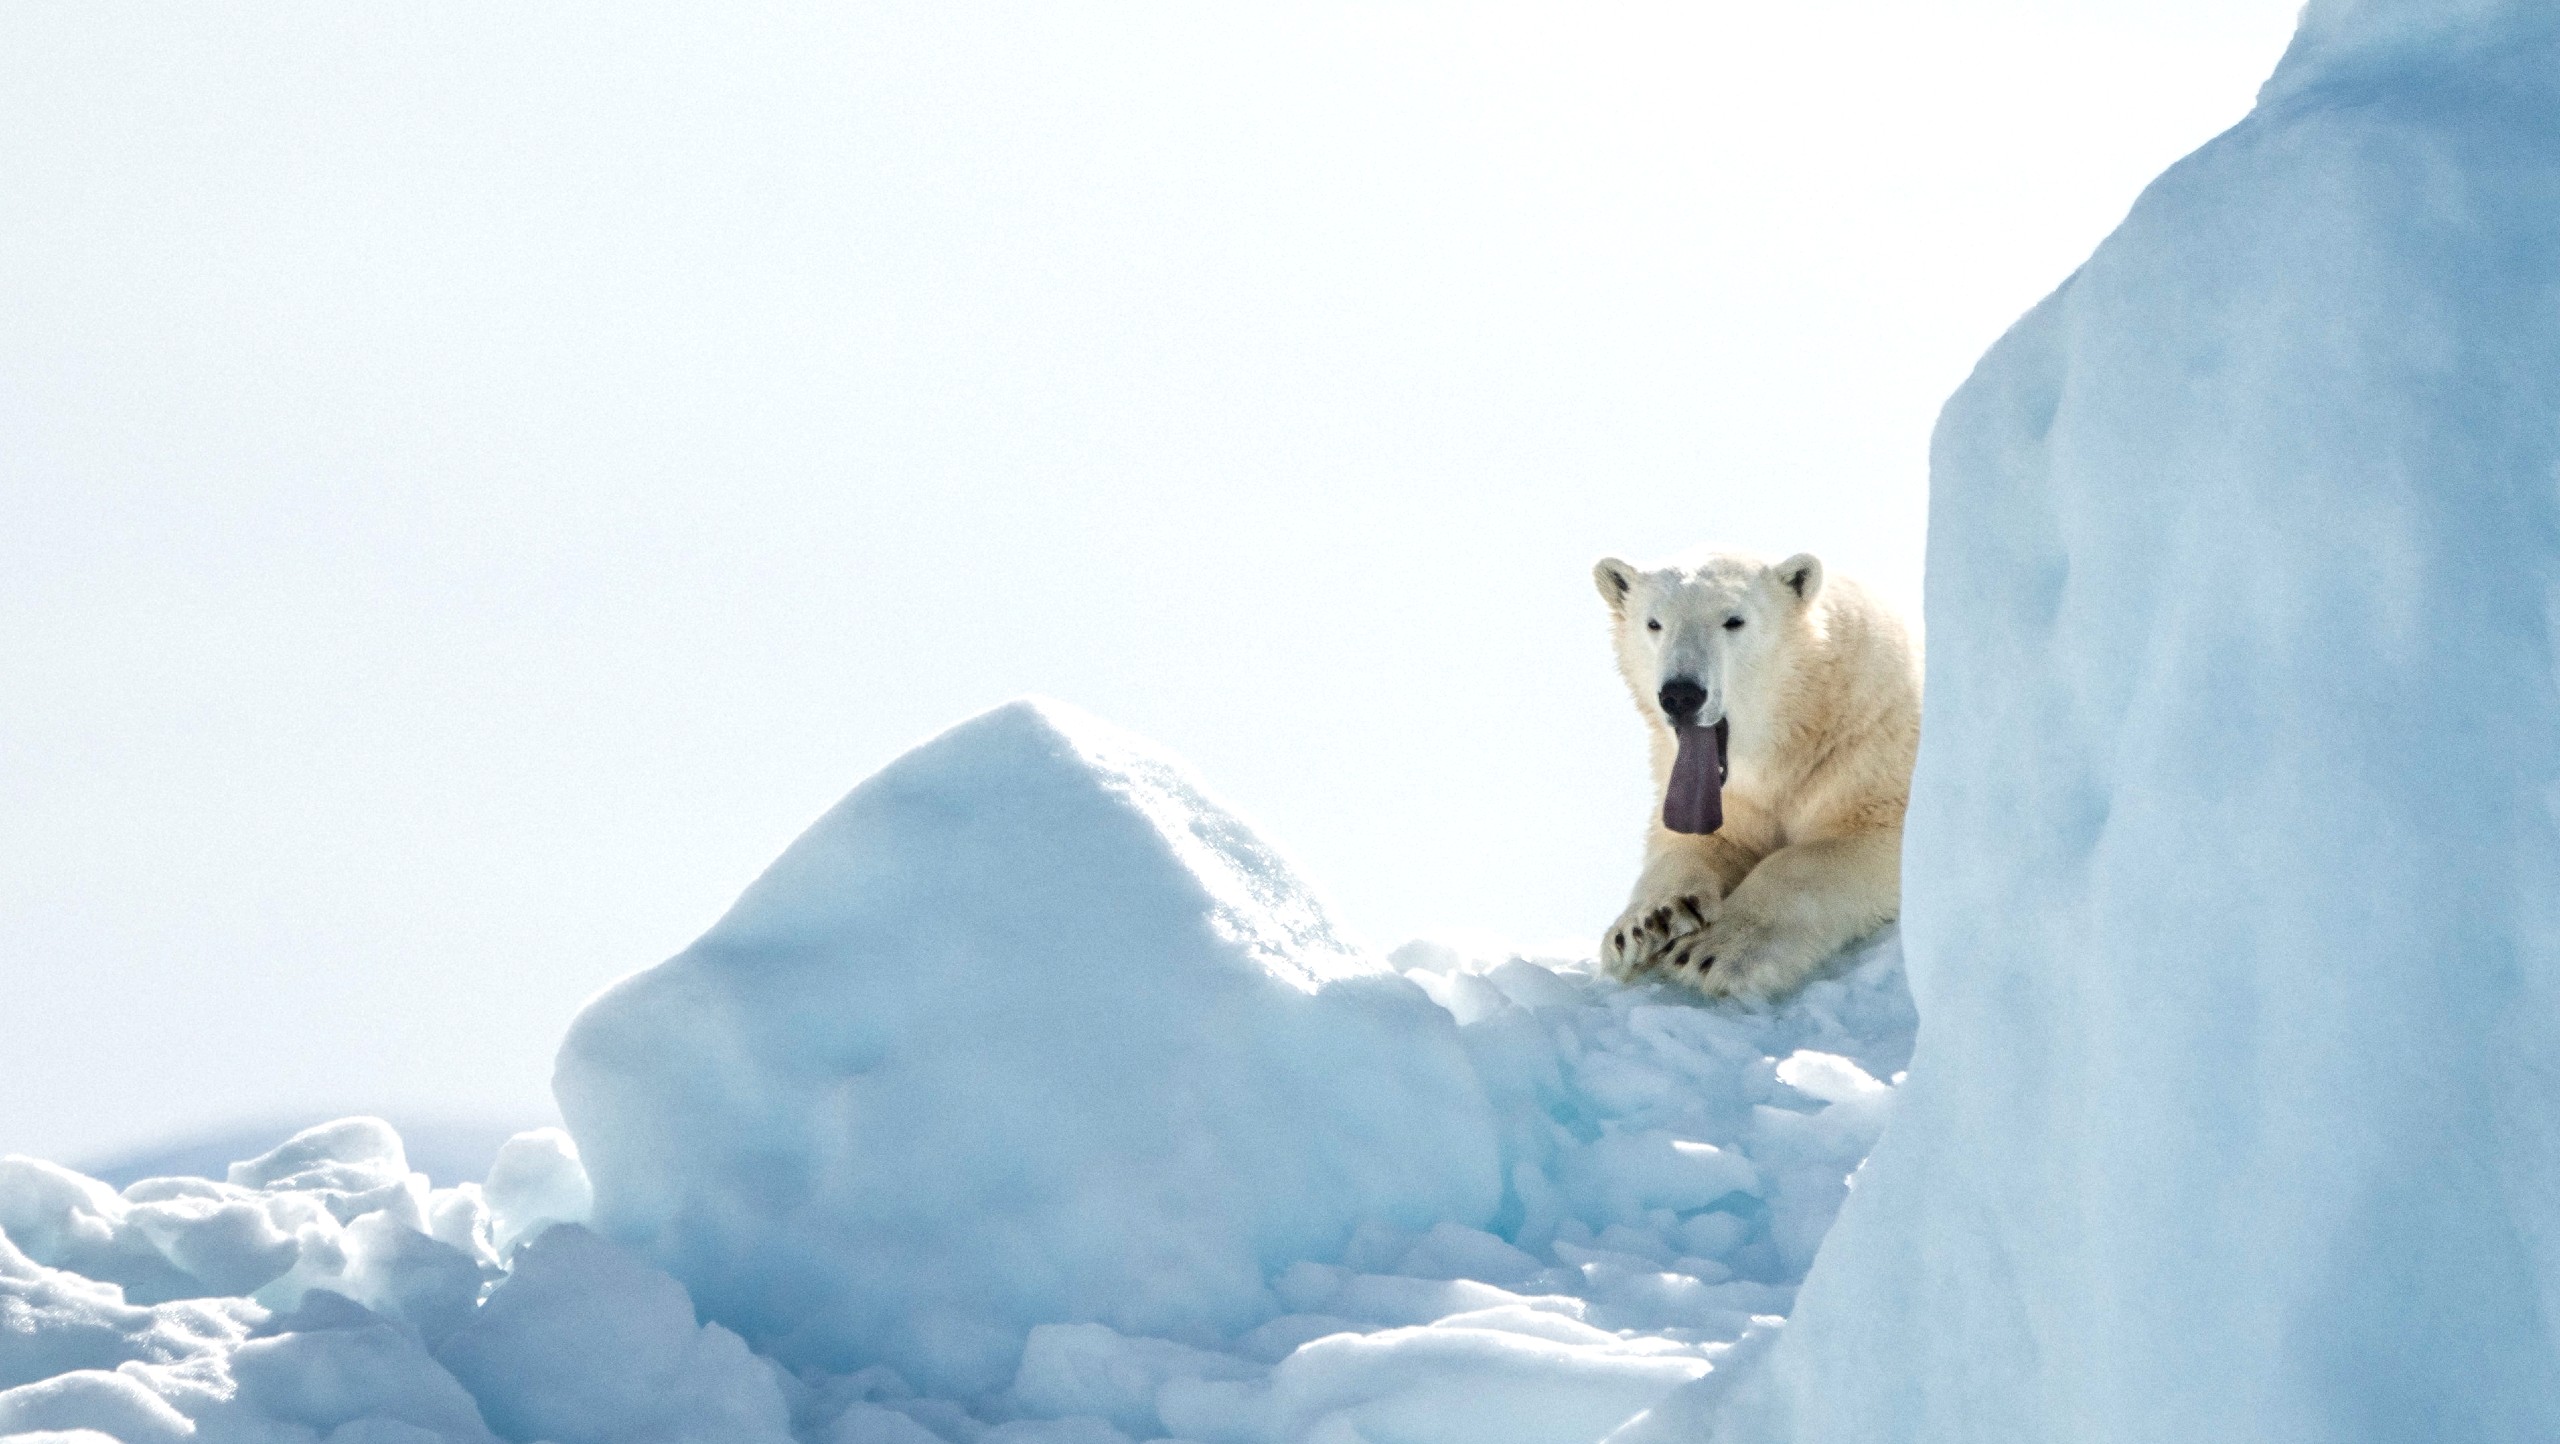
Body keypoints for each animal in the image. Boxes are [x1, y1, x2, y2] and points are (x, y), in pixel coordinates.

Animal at [1597, 547, 1925, 998]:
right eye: (1654, 622)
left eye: (1734, 620)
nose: (1681, 694)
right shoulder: (1728, 797)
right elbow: (1698, 838)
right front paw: (1647, 924)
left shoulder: (1871, 751)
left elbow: (1828, 850)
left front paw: (1713, 951)